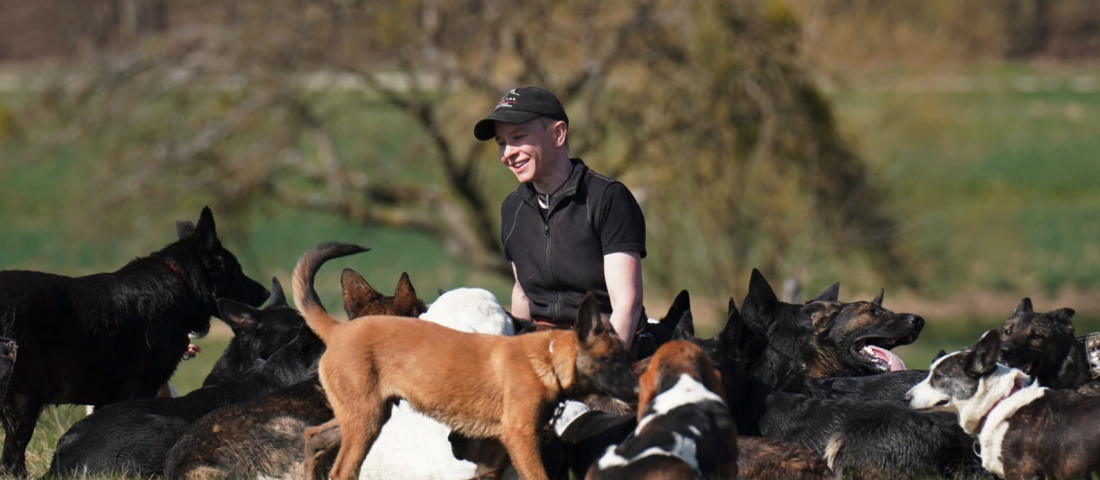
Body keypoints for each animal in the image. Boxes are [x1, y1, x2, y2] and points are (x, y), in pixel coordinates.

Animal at [0, 205, 268, 475]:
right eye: (236, 270)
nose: (266, 292)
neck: (180, 283)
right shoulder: (138, 388)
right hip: (22, 400)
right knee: (12, 459)